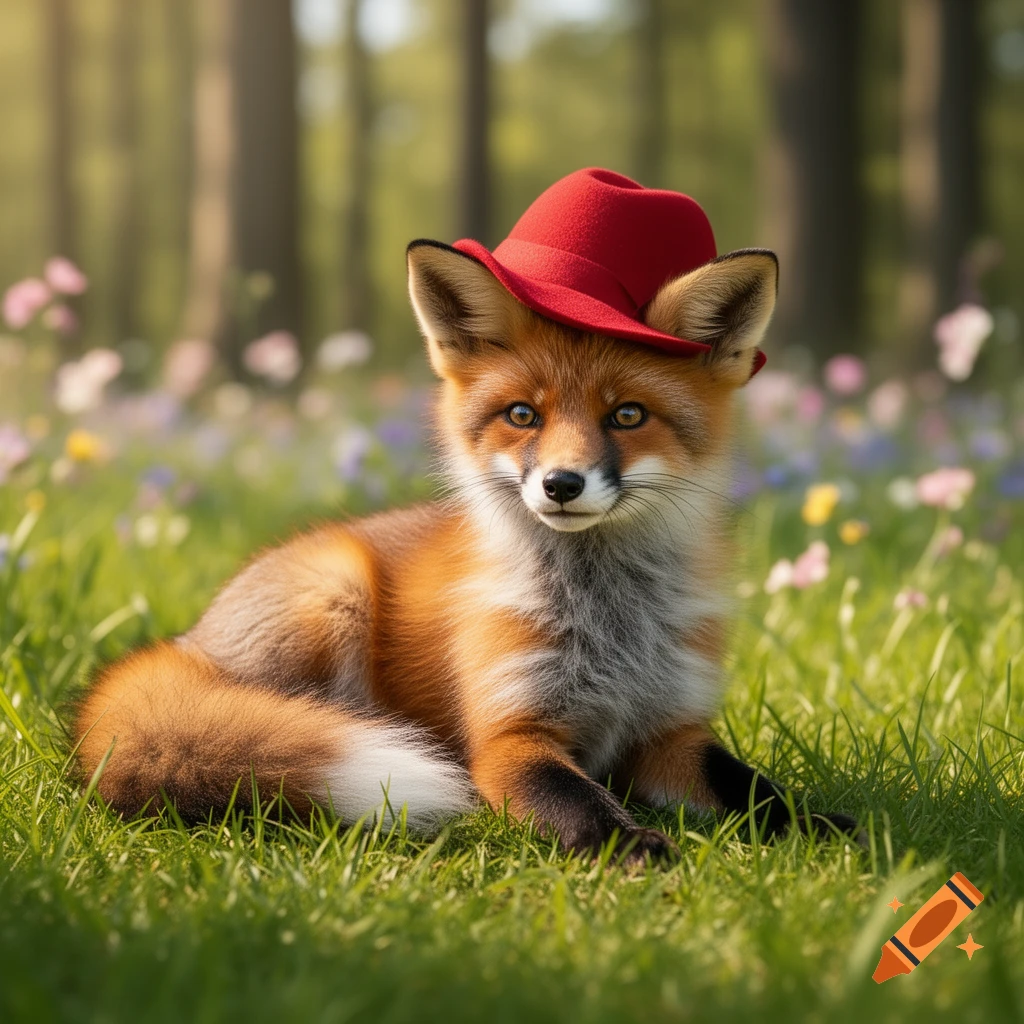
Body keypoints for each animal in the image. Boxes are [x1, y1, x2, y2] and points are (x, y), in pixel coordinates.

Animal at [73, 239, 859, 863]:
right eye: (523, 415)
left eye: (628, 415)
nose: (561, 484)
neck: (612, 627)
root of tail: (186, 645)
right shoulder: (511, 735)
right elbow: (579, 802)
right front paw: (630, 844)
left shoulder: (672, 732)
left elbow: (755, 790)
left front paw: (819, 828)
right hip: (333, 597)